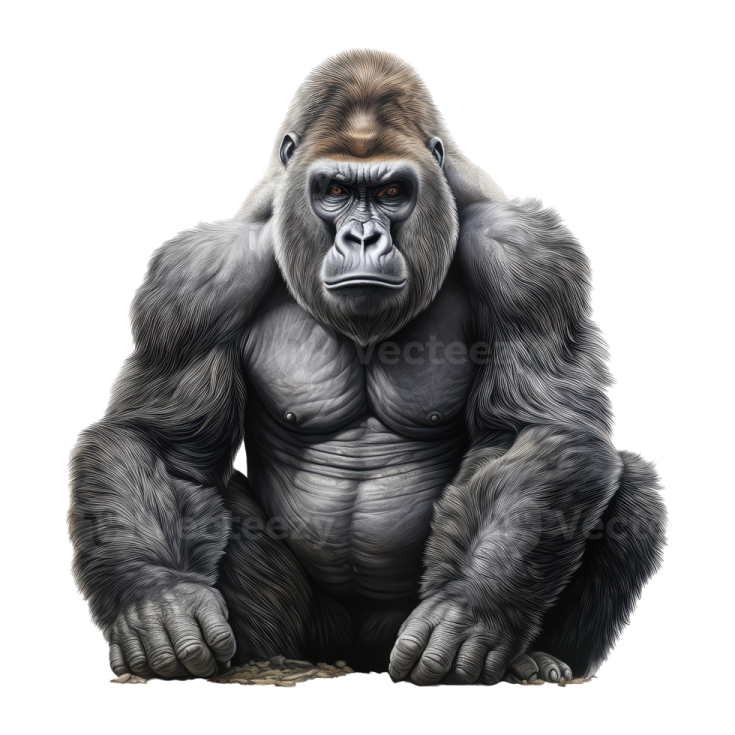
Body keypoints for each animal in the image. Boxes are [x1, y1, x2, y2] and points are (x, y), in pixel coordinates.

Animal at [67, 47, 667, 686]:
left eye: (391, 191)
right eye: (334, 188)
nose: (362, 236)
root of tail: (354, 658)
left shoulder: (529, 257)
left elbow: (533, 430)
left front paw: (471, 609)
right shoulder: (195, 276)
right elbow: (159, 442)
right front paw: (156, 598)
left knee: (630, 484)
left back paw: (537, 656)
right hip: (306, 634)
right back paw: (254, 660)